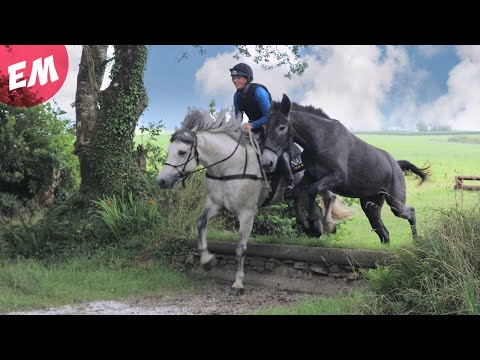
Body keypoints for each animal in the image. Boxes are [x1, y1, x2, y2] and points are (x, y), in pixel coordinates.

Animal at [158, 109, 352, 296]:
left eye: (182, 152)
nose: (161, 181)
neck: (228, 167)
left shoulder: (247, 213)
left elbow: (241, 248)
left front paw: (238, 284)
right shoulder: (215, 205)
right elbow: (200, 224)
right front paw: (207, 261)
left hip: (318, 181)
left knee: (330, 197)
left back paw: (328, 225)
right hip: (304, 192)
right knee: (315, 208)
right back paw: (315, 230)